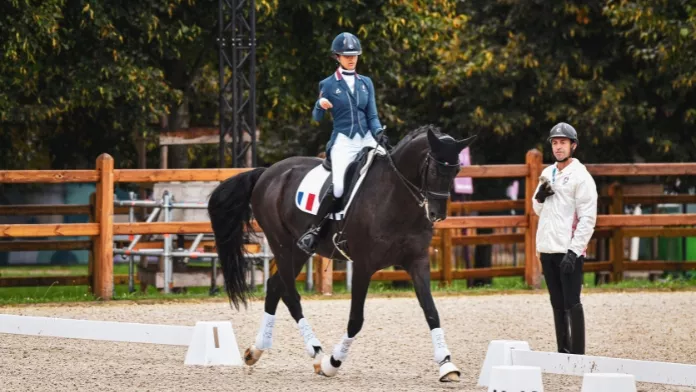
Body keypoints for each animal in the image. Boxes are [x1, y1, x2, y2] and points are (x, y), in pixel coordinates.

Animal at [207, 126, 476, 382]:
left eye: (456, 171)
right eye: (435, 170)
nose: (437, 214)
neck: (395, 197)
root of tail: (267, 172)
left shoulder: (417, 262)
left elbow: (431, 311)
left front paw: (447, 365)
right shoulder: (363, 266)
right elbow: (356, 319)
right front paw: (332, 363)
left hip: (299, 251)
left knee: (274, 287)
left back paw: (257, 350)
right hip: (282, 244)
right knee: (291, 295)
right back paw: (316, 353)